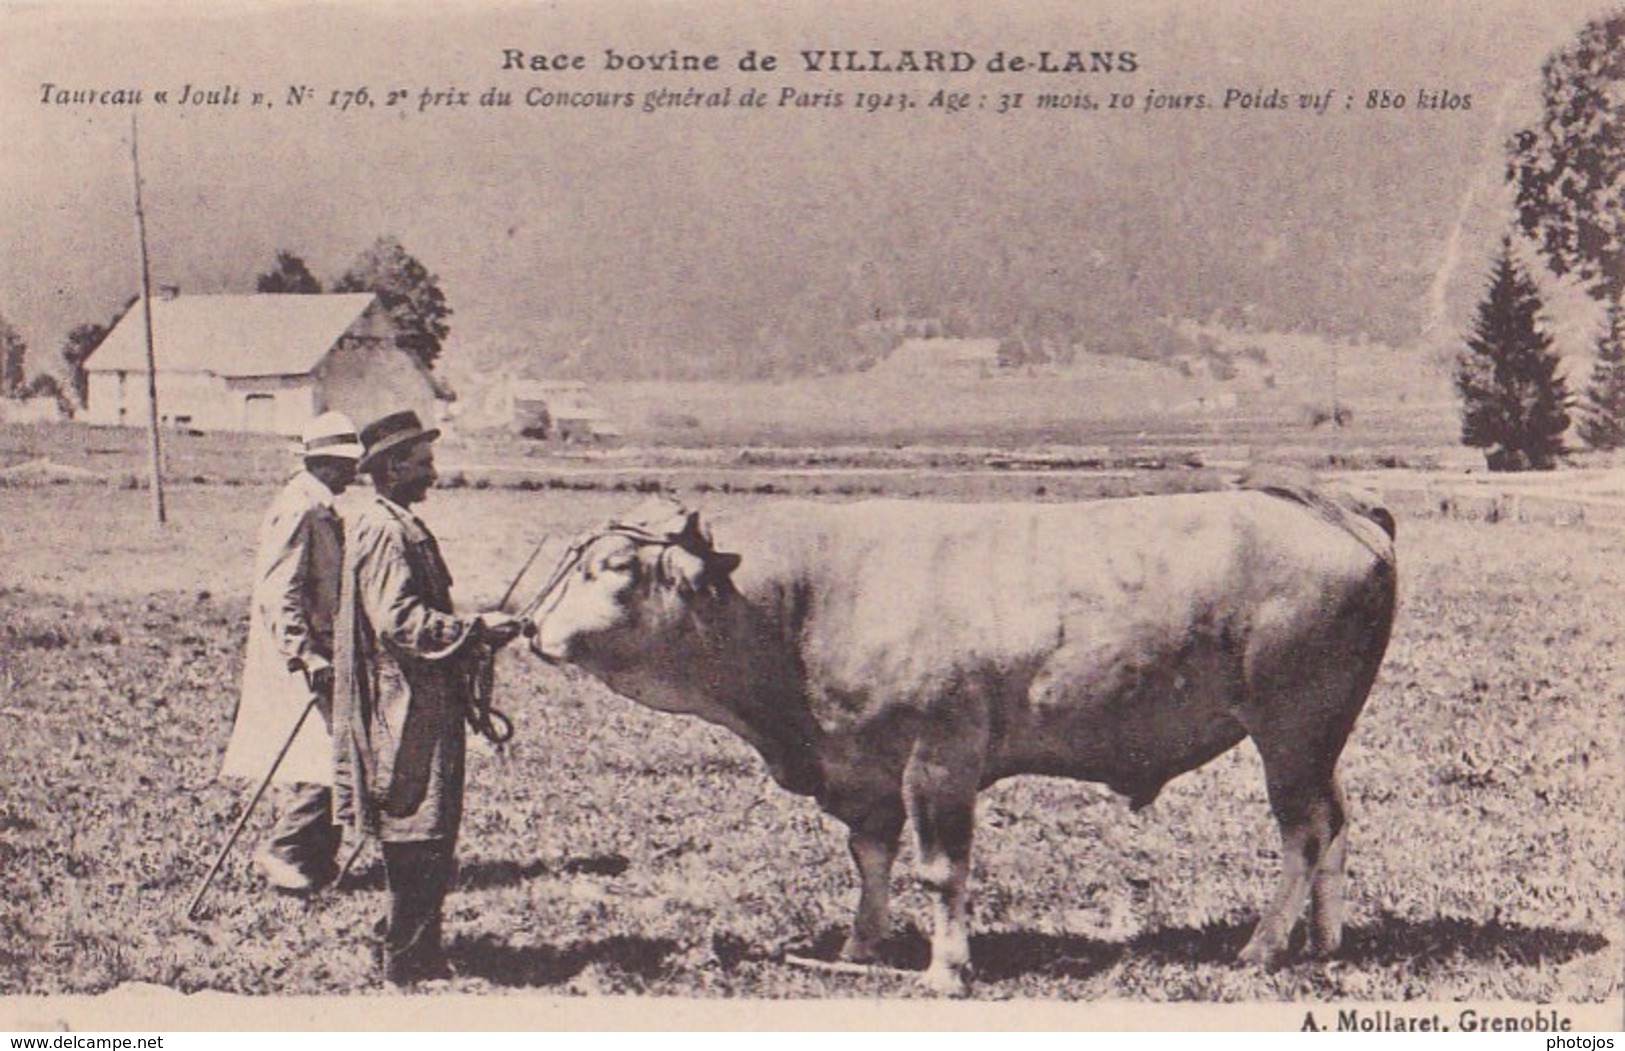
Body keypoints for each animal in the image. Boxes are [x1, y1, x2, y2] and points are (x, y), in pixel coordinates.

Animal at [520, 484, 1397, 994]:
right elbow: (870, 856)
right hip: (1320, 735)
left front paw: (944, 968)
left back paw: (1262, 945)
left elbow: (941, 869)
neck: (802, 598)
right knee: (1336, 823)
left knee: (1303, 830)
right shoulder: (863, 764)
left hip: (1290, 725)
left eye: (614, 565)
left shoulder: (939, 756)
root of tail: (1336, 510)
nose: (528, 628)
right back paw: (1324, 942)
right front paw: (859, 945)